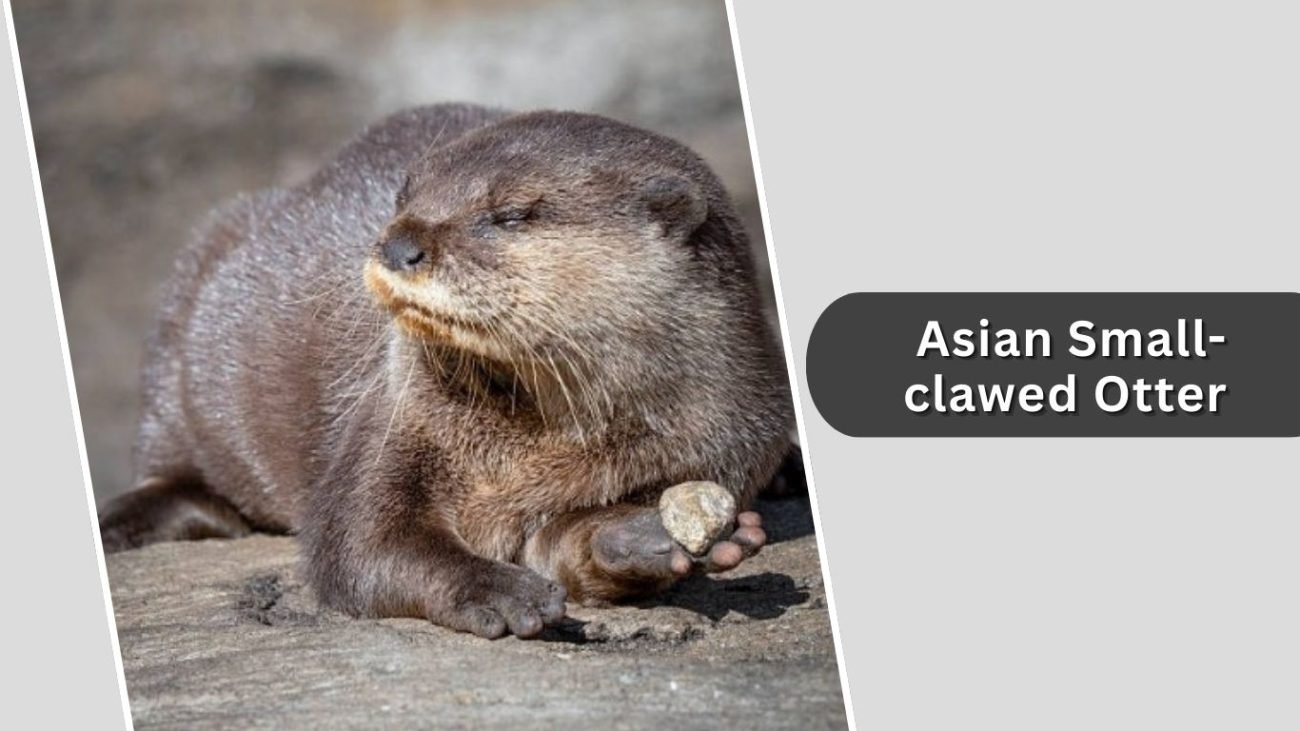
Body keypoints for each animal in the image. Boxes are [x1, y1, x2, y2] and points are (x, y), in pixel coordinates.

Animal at [98, 103, 798, 639]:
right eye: (403, 195)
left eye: (510, 214)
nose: (397, 242)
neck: (534, 451)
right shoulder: (394, 413)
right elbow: (362, 545)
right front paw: (498, 591)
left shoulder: (720, 442)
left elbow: (564, 544)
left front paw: (645, 536)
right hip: (198, 272)